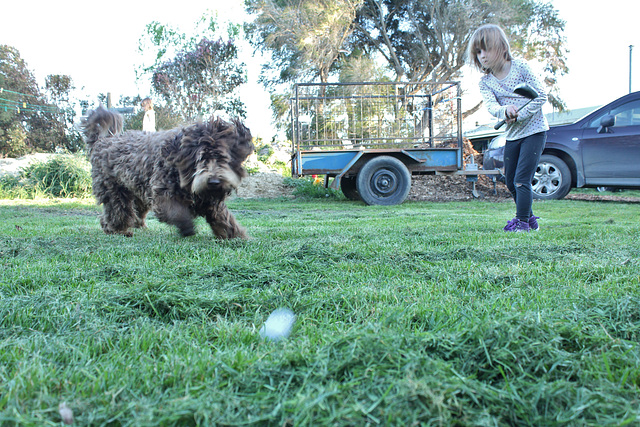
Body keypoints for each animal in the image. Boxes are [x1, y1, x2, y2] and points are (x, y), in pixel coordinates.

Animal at [78, 106, 252, 239]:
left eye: (223, 158)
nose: (214, 182)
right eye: (201, 159)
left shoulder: (209, 201)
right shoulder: (163, 194)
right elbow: (177, 213)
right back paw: (117, 230)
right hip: (114, 190)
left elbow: (223, 218)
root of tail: (103, 141)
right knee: (117, 211)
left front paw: (236, 235)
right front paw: (187, 227)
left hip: (137, 190)